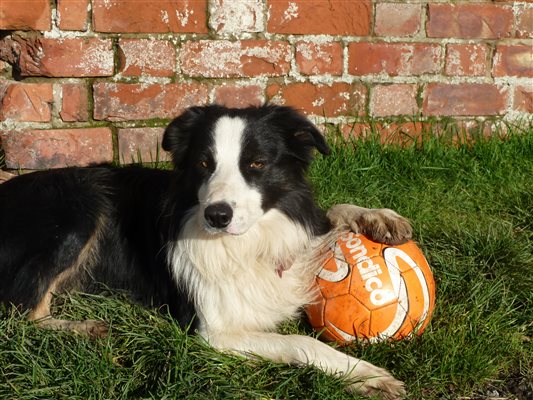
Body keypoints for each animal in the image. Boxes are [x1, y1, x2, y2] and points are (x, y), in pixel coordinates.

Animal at [0, 104, 410, 398]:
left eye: (256, 163)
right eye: (203, 164)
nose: (216, 215)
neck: (247, 242)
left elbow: (333, 212)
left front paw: (378, 217)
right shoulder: (213, 331)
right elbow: (300, 341)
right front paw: (362, 373)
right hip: (81, 203)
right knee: (21, 313)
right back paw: (83, 328)